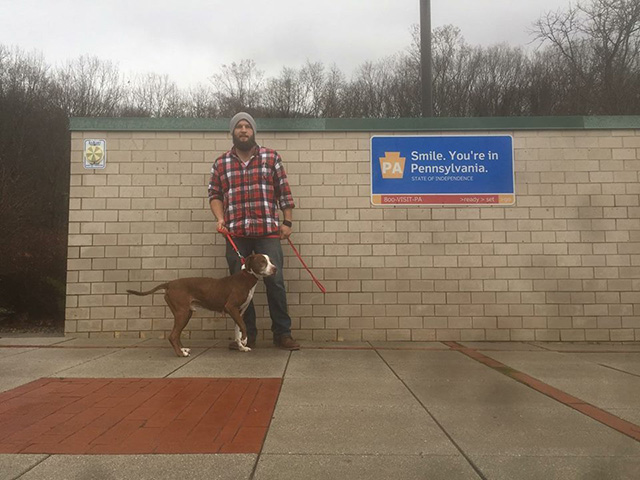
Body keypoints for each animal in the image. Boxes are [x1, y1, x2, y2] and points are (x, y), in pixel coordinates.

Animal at [126, 255, 276, 356]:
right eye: (262, 262)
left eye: (270, 260)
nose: (275, 268)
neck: (246, 278)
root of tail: (169, 284)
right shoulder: (231, 307)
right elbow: (243, 327)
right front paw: (245, 340)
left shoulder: (239, 312)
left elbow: (237, 330)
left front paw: (241, 347)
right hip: (182, 313)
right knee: (173, 335)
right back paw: (181, 354)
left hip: (185, 313)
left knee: (177, 334)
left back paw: (183, 349)